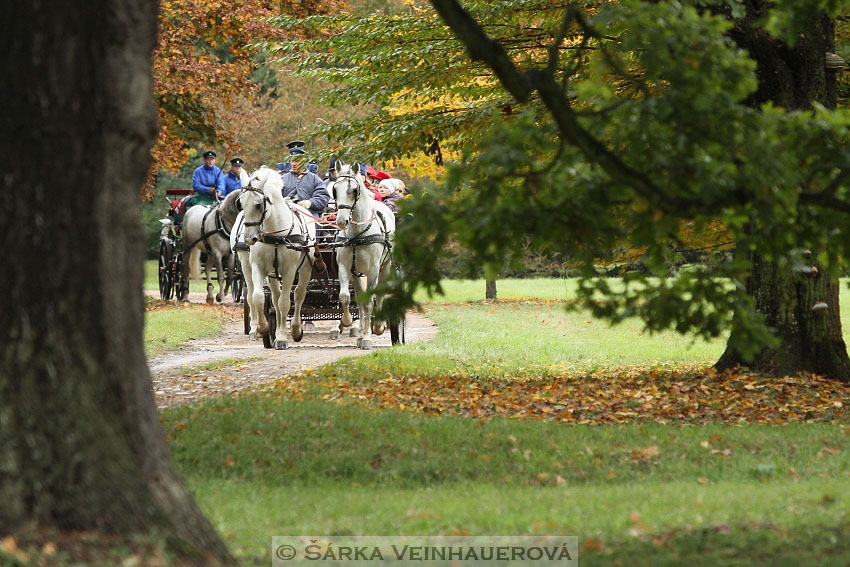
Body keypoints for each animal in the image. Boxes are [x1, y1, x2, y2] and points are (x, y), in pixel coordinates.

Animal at [237, 166, 316, 348]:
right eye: (241, 203)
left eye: (258, 204)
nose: (249, 239)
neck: (275, 234)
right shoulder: (258, 267)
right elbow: (258, 297)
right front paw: (264, 328)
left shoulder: (289, 271)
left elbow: (285, 302)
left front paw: (282, 337)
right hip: (273, 274)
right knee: (274, 297)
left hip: (305, 269)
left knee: (298, 295)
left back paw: (295, 329)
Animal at [332, 159, 396, 346]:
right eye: (335, 190)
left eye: (353, 190)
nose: (341, 221)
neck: (357, 234)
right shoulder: (344, 267)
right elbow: (345, 297)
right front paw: (347, 322)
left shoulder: (373, 269)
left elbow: (369, 302)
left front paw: (368, 336)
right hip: (357, 273)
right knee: (359, 299)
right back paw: (360, 333)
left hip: (385, 266)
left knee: (379, 294)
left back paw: (377, 326)